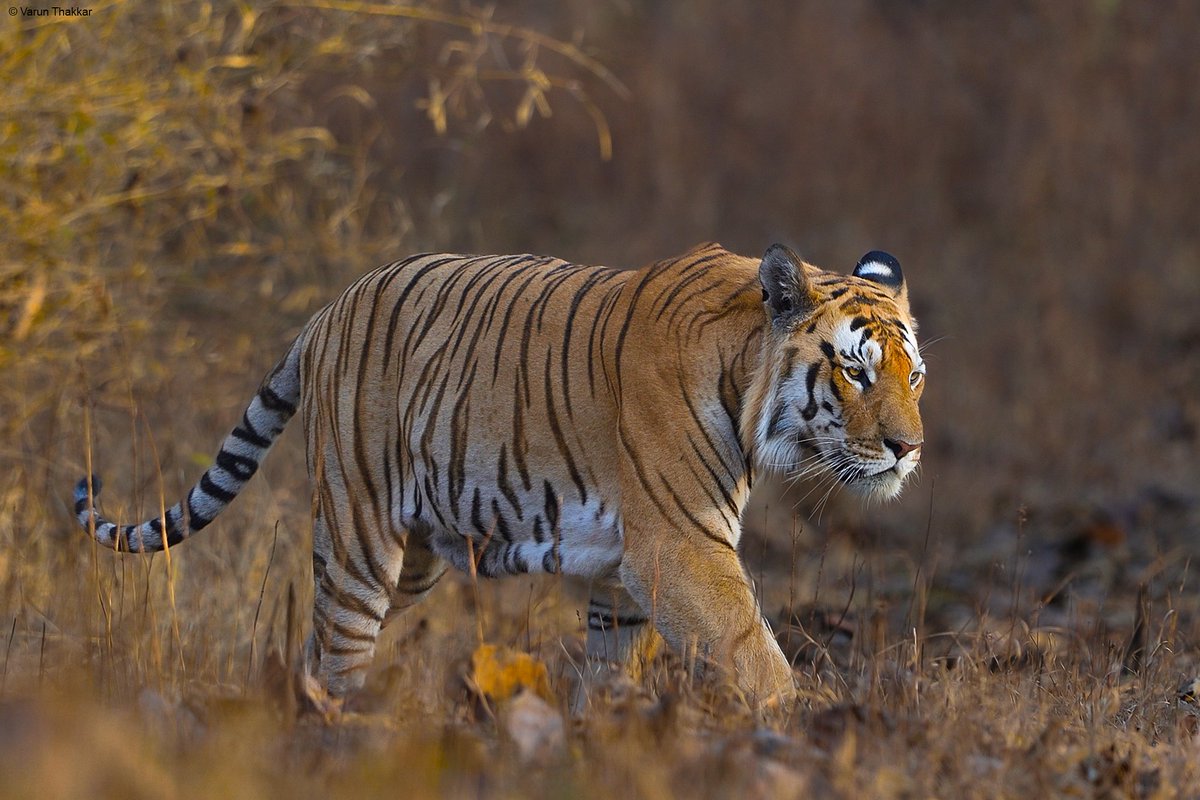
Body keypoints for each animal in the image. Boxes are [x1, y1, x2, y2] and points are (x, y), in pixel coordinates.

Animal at [73, 242, 925, 709]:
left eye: (913, 376)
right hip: (360, 533)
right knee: (337, 651)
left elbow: (611, 672)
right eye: (853, 371)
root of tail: (328, 309)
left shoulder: (628, 569)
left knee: (322, 646)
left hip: (415, 555)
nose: (907, 449)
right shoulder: (680, 547)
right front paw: (800, 727)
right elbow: (754, 652)